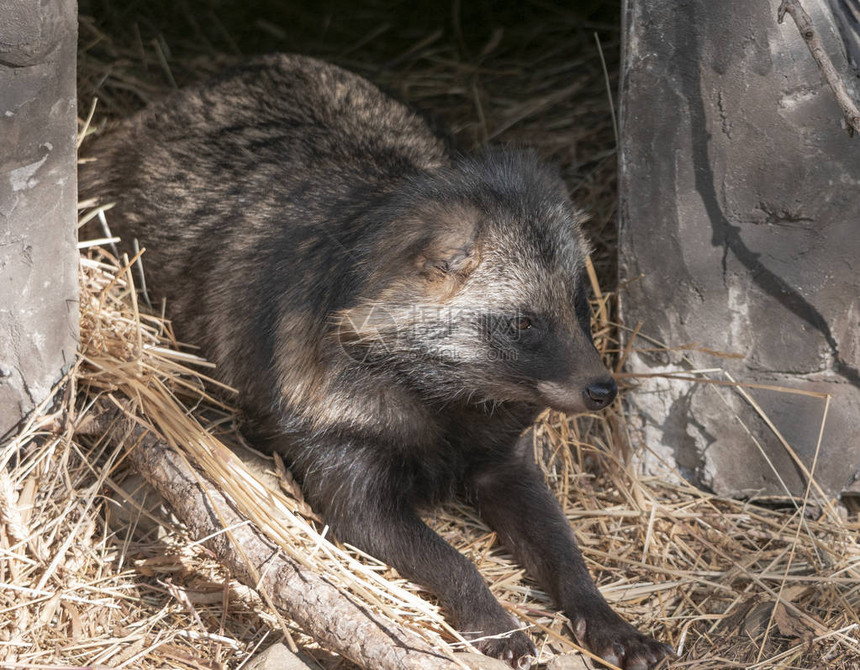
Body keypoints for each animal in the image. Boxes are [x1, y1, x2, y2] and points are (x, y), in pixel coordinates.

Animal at [80, 53, 672, 670]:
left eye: (581, 304)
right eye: (524, 323)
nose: (603, 390)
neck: (442, 400)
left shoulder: (503, 457)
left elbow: (565, 550)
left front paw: (607, 617)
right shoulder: (340, 457)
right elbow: (447, 556)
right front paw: (489, 615)